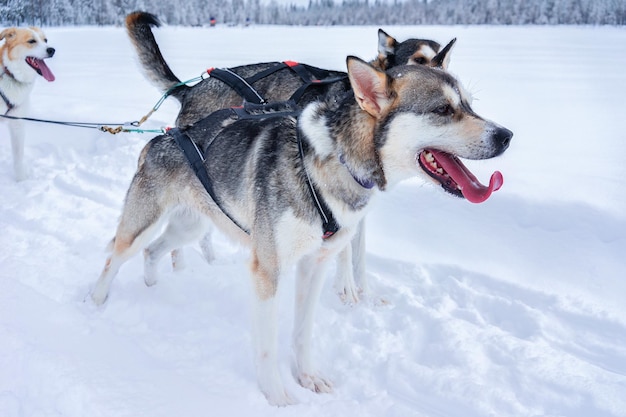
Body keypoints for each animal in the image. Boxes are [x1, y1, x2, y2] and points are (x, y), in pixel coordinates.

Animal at [0, 25, 55, 180]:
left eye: (45, 40)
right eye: (31, 41)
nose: (52, 50)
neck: (10, 74)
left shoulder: (17, 124)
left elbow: (18, 157)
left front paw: (21, 180)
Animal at [91, 46, 512, 406]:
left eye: (468, 105)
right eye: (442, 109)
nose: (506, 135)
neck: (334, 162)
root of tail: (163, 138)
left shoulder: (316, 263)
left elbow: (302, 332)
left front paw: (307, 377)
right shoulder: (268, 270)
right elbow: (268, 344)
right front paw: (276, 396)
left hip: (189, 228)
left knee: (153, 251)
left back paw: (154, 287)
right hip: (142, 225)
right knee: (114, 256)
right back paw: (95, 305)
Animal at [123, 10, 444, 302]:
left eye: (444, 60)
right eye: (419, 60)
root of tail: (190, 90)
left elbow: (357, 250)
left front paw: (363, 290)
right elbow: (343, 253)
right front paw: (347, 290)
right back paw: (183, 265)